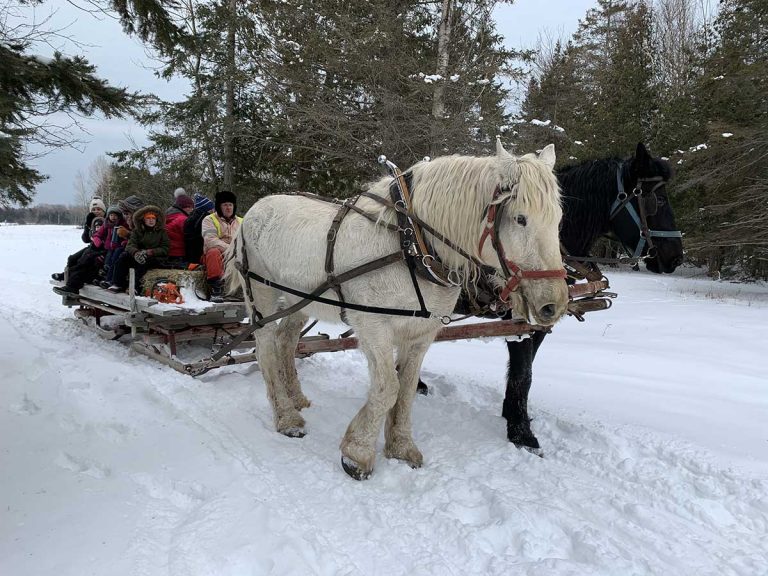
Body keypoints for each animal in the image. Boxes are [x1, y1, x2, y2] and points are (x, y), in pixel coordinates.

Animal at [224, 139, 569, 480]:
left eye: (559, 219)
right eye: (521, 218)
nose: (553, 304)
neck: (411, 245)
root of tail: (254, 210)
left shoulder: (421, 333)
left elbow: (405, 390)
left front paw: (400, 447)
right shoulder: (373, 326)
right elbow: (387, 388)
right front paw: (357, 453)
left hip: (301, 300)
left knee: (286, 341)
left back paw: (296, 399)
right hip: (262, 294)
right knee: (266, 347)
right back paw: (286, 417)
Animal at [503, 142, 684, 454]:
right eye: (657, 200)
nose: (677, 257)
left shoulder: (542, 316)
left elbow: (526, 369)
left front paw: (512, 414)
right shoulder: (517, 320)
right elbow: (522, 372)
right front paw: (520, 432)